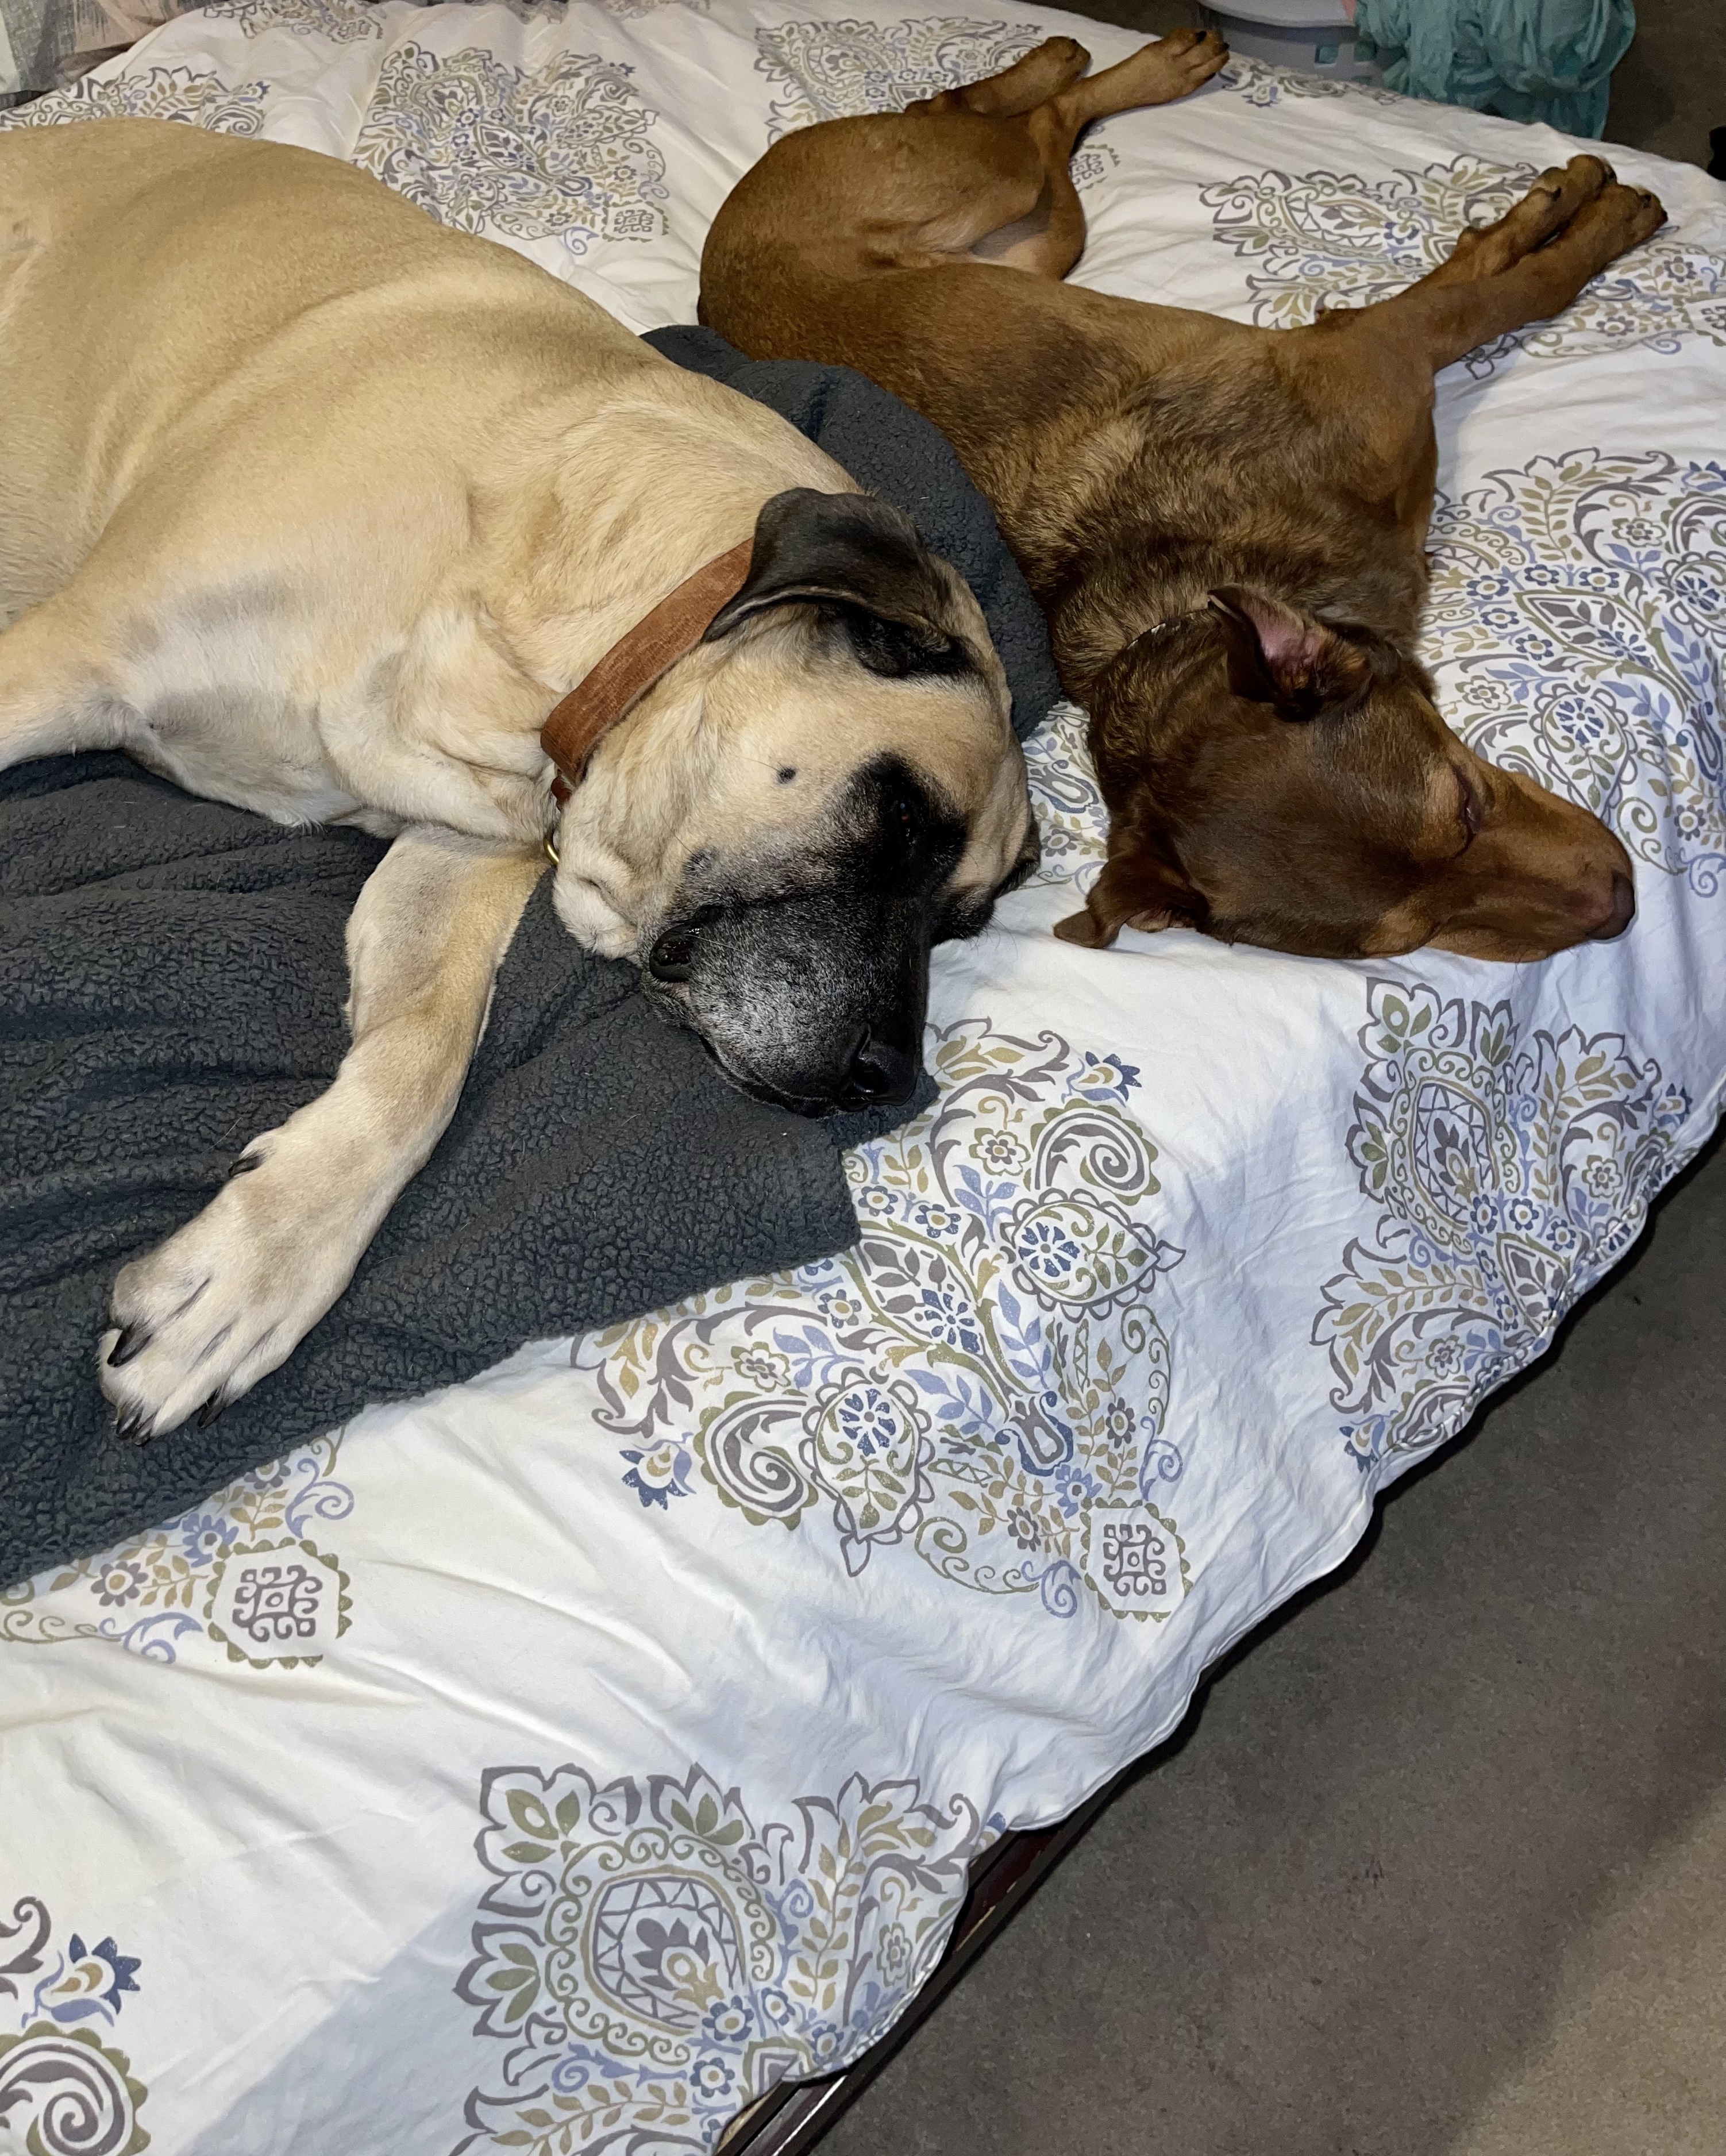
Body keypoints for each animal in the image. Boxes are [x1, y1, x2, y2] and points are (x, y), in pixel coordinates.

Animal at [0, 119, 1034, 1440]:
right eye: (900, 818)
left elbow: (421, 1066)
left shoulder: (456, 858)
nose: (885, 1079)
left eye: (962, 924)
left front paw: (251, 1267)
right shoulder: (62, 660)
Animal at [701, 30, 1663, 961]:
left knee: (990, 114)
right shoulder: (1386, 346)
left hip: (1020, 216)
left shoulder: (1379, 341)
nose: (1622, 908)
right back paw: (1134, 63)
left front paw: (1579, 211)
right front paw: (1577, 212)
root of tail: (713, 288)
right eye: (1412, 939)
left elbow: (1505, 284)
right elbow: (1498, 289)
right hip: (1033, 224)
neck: (1179, 607)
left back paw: (1108, 60)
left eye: (1466, 801)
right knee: (1022, 120)